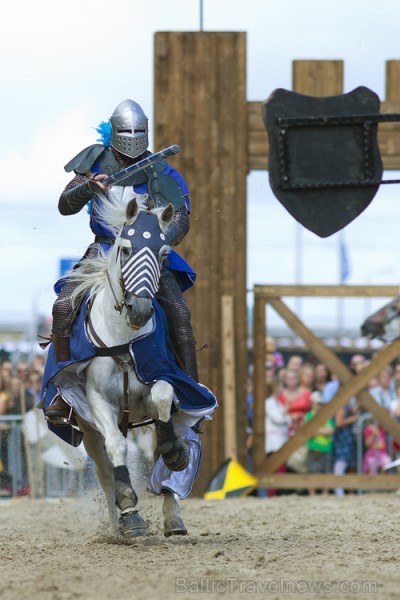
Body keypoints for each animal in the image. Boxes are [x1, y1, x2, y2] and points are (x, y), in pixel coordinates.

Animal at [55, 193, 212, 540]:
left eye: (163, 252)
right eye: (125, 248)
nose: (138, 310)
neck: (123, 339)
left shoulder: (161, 380)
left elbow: (164, 401)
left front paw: (175, 451)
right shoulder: (97, 402)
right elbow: (116, 449)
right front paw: (130, 511)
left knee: (161, 469)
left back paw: (173, 517)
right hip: (89, 431)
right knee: (105, 472)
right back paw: (119, 524)